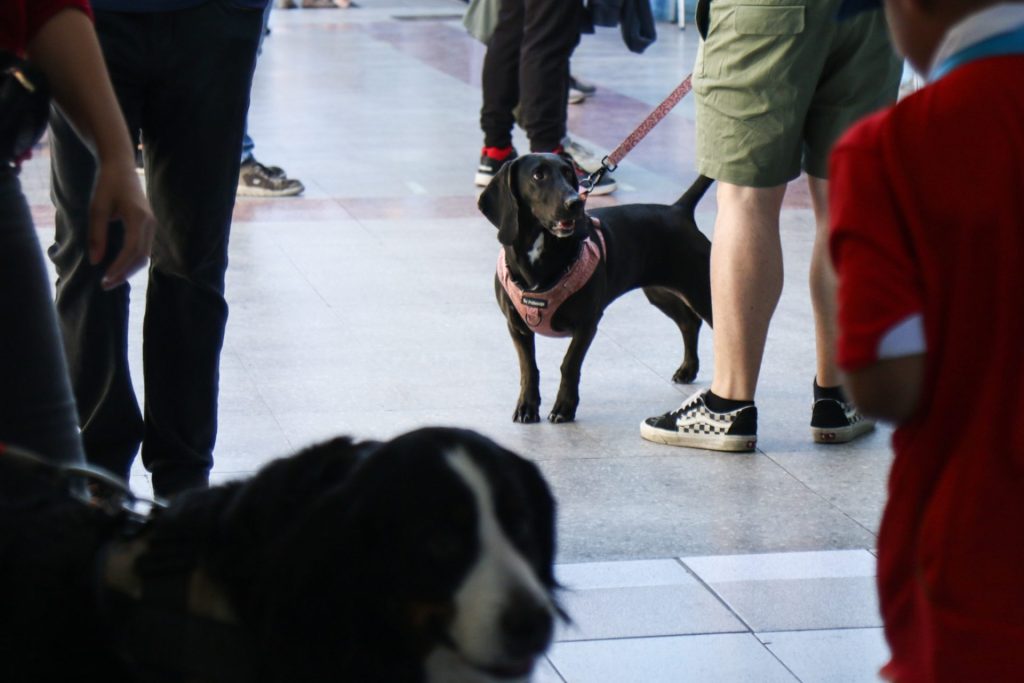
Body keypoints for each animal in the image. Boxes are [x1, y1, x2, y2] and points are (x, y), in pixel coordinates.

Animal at [477, 152, 712, 423]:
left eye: (569, 173)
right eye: (538, 175)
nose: (575, 203)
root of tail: (678, 210)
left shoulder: (587, 323)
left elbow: (569, 364)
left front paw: (564, 407)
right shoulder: (517, 326)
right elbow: (528, 368)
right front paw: (527, 406)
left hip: (703, 292)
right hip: (659, 292)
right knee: (689, 322)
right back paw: (688, 369)